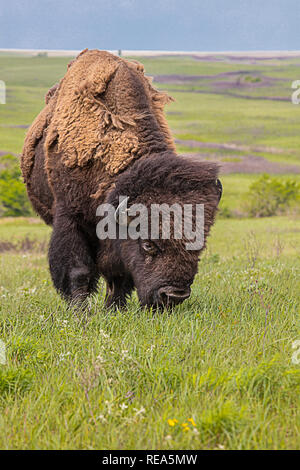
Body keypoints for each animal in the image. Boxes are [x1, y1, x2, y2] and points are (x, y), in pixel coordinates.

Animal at [21, 49, 221, 310]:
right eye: (148, 244)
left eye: (200, 244)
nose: (173, 296)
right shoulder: (70, 217)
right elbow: (78, 270)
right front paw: (80, 312)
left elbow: (118, 275)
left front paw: (114, 309)